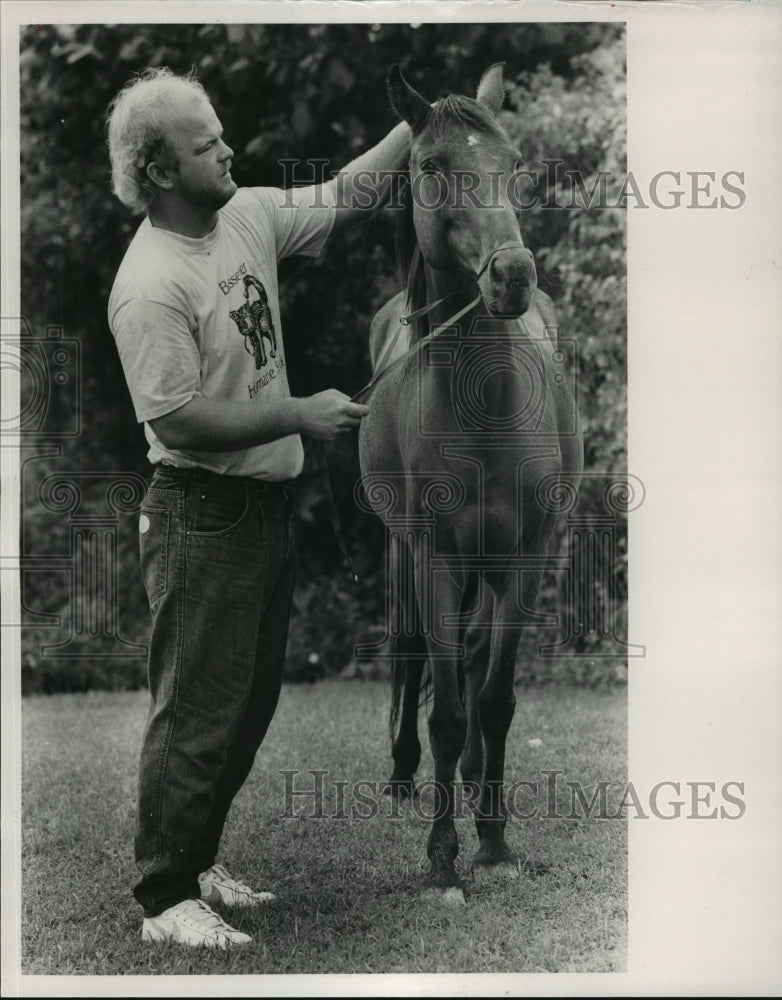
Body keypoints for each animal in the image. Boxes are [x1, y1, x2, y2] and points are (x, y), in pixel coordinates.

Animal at [358, 64, 584, 908]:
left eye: (514, 162)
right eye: (430, 163)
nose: (511, 275)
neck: (488, 405)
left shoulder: (525, 559)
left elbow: (494, 700)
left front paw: (493, 843)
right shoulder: (435, 558)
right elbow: (449, 712)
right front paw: (443, 858)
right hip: (403, 556)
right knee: (410, 651)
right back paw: (404, 778)